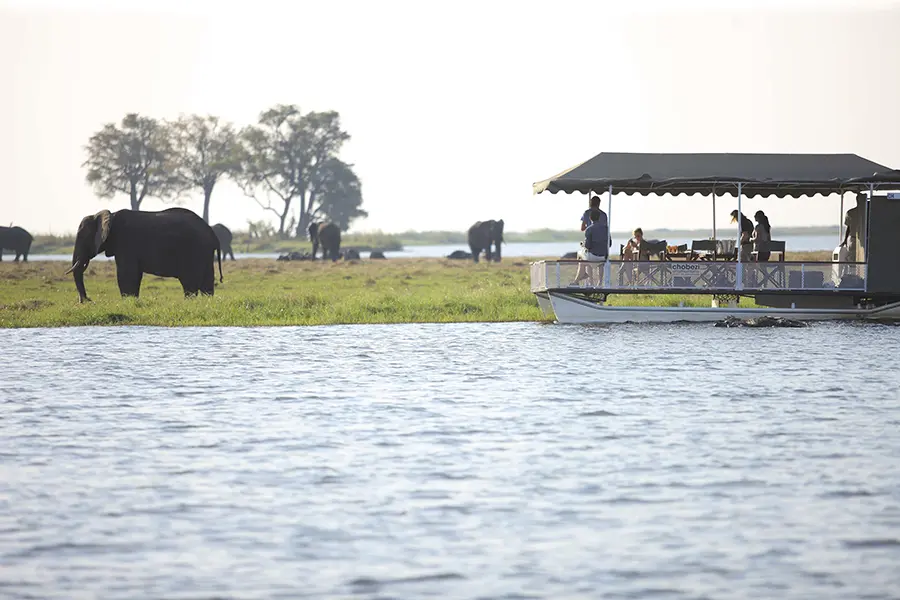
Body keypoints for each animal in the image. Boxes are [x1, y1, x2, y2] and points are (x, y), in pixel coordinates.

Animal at [65, 207, 223, 302]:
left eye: (83, 237)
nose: (88, 300)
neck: (109, 215)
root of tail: (213, 235)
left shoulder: (126, 242)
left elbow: (126, 274)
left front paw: (127, 302)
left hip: (194, 251)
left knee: (190, 282)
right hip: (204, 253)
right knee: (205, 282)